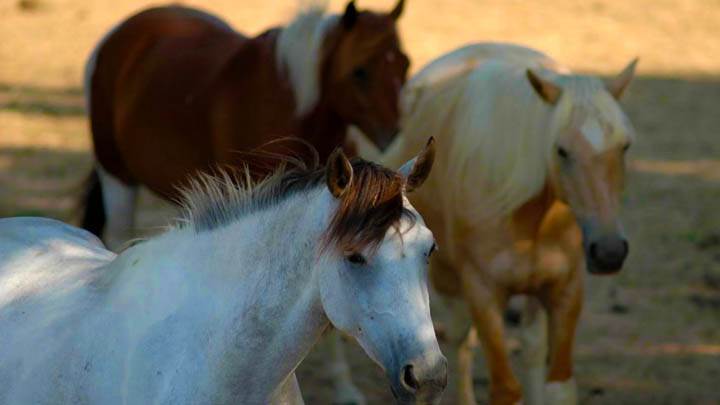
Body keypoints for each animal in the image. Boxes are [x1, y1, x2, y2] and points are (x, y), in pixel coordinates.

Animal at [81, 0, 410, 250]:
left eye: (404, 64)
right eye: (360, 72)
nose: (393, 133)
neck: (292, 106)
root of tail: (115, 38)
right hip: (116, 176)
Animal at [354, 43, 637, 404]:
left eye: (624, 146)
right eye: (561, 151)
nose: (609, 251)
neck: (528, 217)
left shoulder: (565, 288)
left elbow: (559, 385)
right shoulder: (482, 293)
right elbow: (505, 388)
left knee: (530, 347)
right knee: (460, 340)